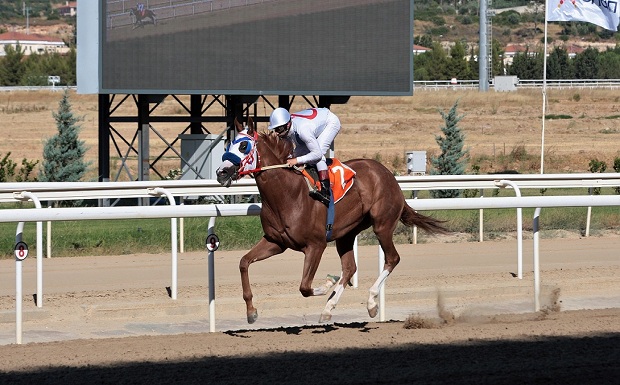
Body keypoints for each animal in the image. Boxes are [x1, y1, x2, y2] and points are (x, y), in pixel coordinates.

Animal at [216, 118, 448, 322]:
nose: (221, 172)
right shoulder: (276, 242)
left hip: (382, 225)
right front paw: (251, 311)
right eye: (229, 143)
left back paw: (371, 303)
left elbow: (305, 287)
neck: (287, 194)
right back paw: (329, 308)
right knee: (350, 268)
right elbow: (244, 262)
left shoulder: (316, 245)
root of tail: (388, 174)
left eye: (244, 145)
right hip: (346, 234)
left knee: (392, 259)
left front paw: (328, 283)